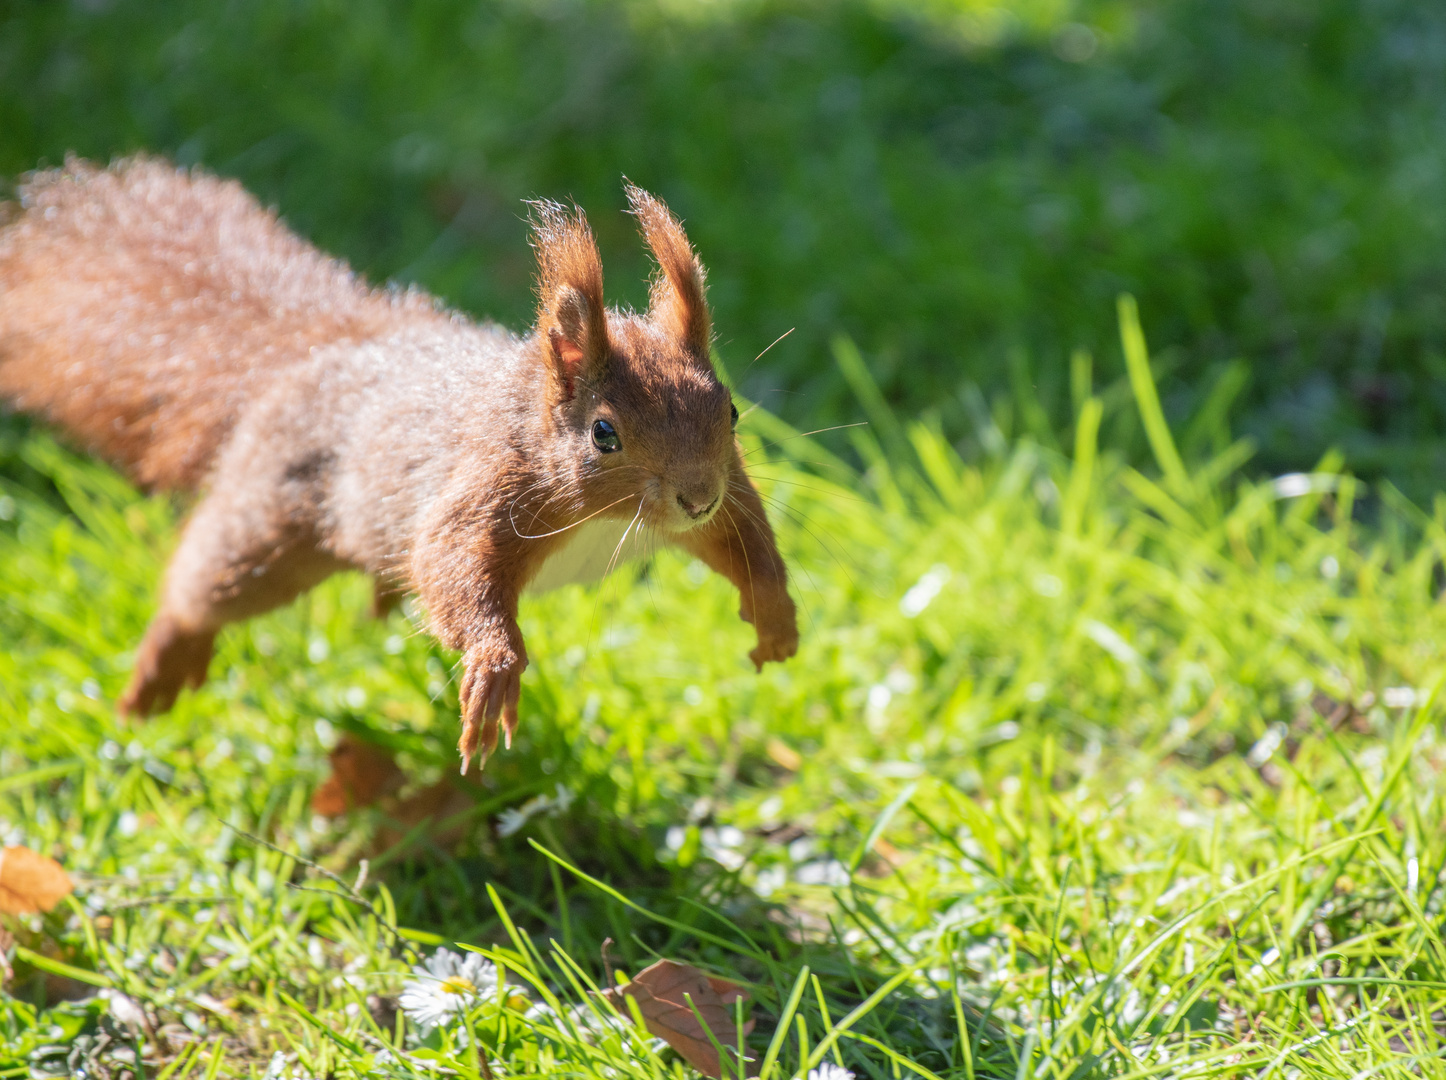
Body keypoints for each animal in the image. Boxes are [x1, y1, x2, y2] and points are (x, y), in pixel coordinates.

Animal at [0, 158, 803, 769]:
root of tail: (329, 353)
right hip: (273, 519)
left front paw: (775, 615)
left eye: (731, 413)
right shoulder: (485, 491)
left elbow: (746, 542)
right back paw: (161, 669)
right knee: (204, 581)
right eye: (604, 434)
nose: (695, 495)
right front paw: (494, 669)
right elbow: (452, 566)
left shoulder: (726, 498)